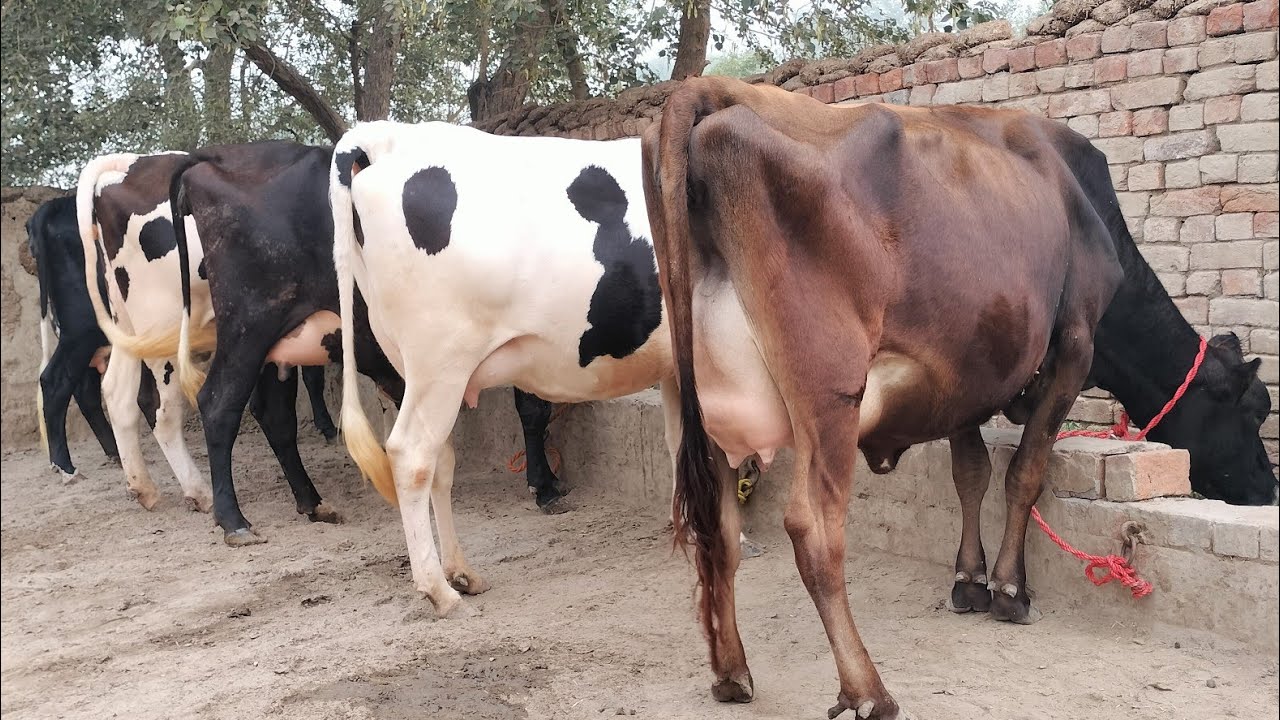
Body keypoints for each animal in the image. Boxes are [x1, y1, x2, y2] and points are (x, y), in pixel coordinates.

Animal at [329, 120, 686, 616]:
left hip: (415, 368)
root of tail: (388, 136)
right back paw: (439, 590)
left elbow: (678, 441)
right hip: (440, 361)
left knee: (440, 458)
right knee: (412, 456)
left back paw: (460, 572)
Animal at [643, 77, 1134, 717]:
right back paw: (868, 691)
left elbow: (971, 472)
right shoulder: (1076, 343)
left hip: (698, 410)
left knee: (719, 530)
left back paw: (731, 674)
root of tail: (710, 89)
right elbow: (1024, 472)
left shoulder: (964, 376)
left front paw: (969, 581)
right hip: (829, 398)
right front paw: (1008, 589)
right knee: (813, 531)